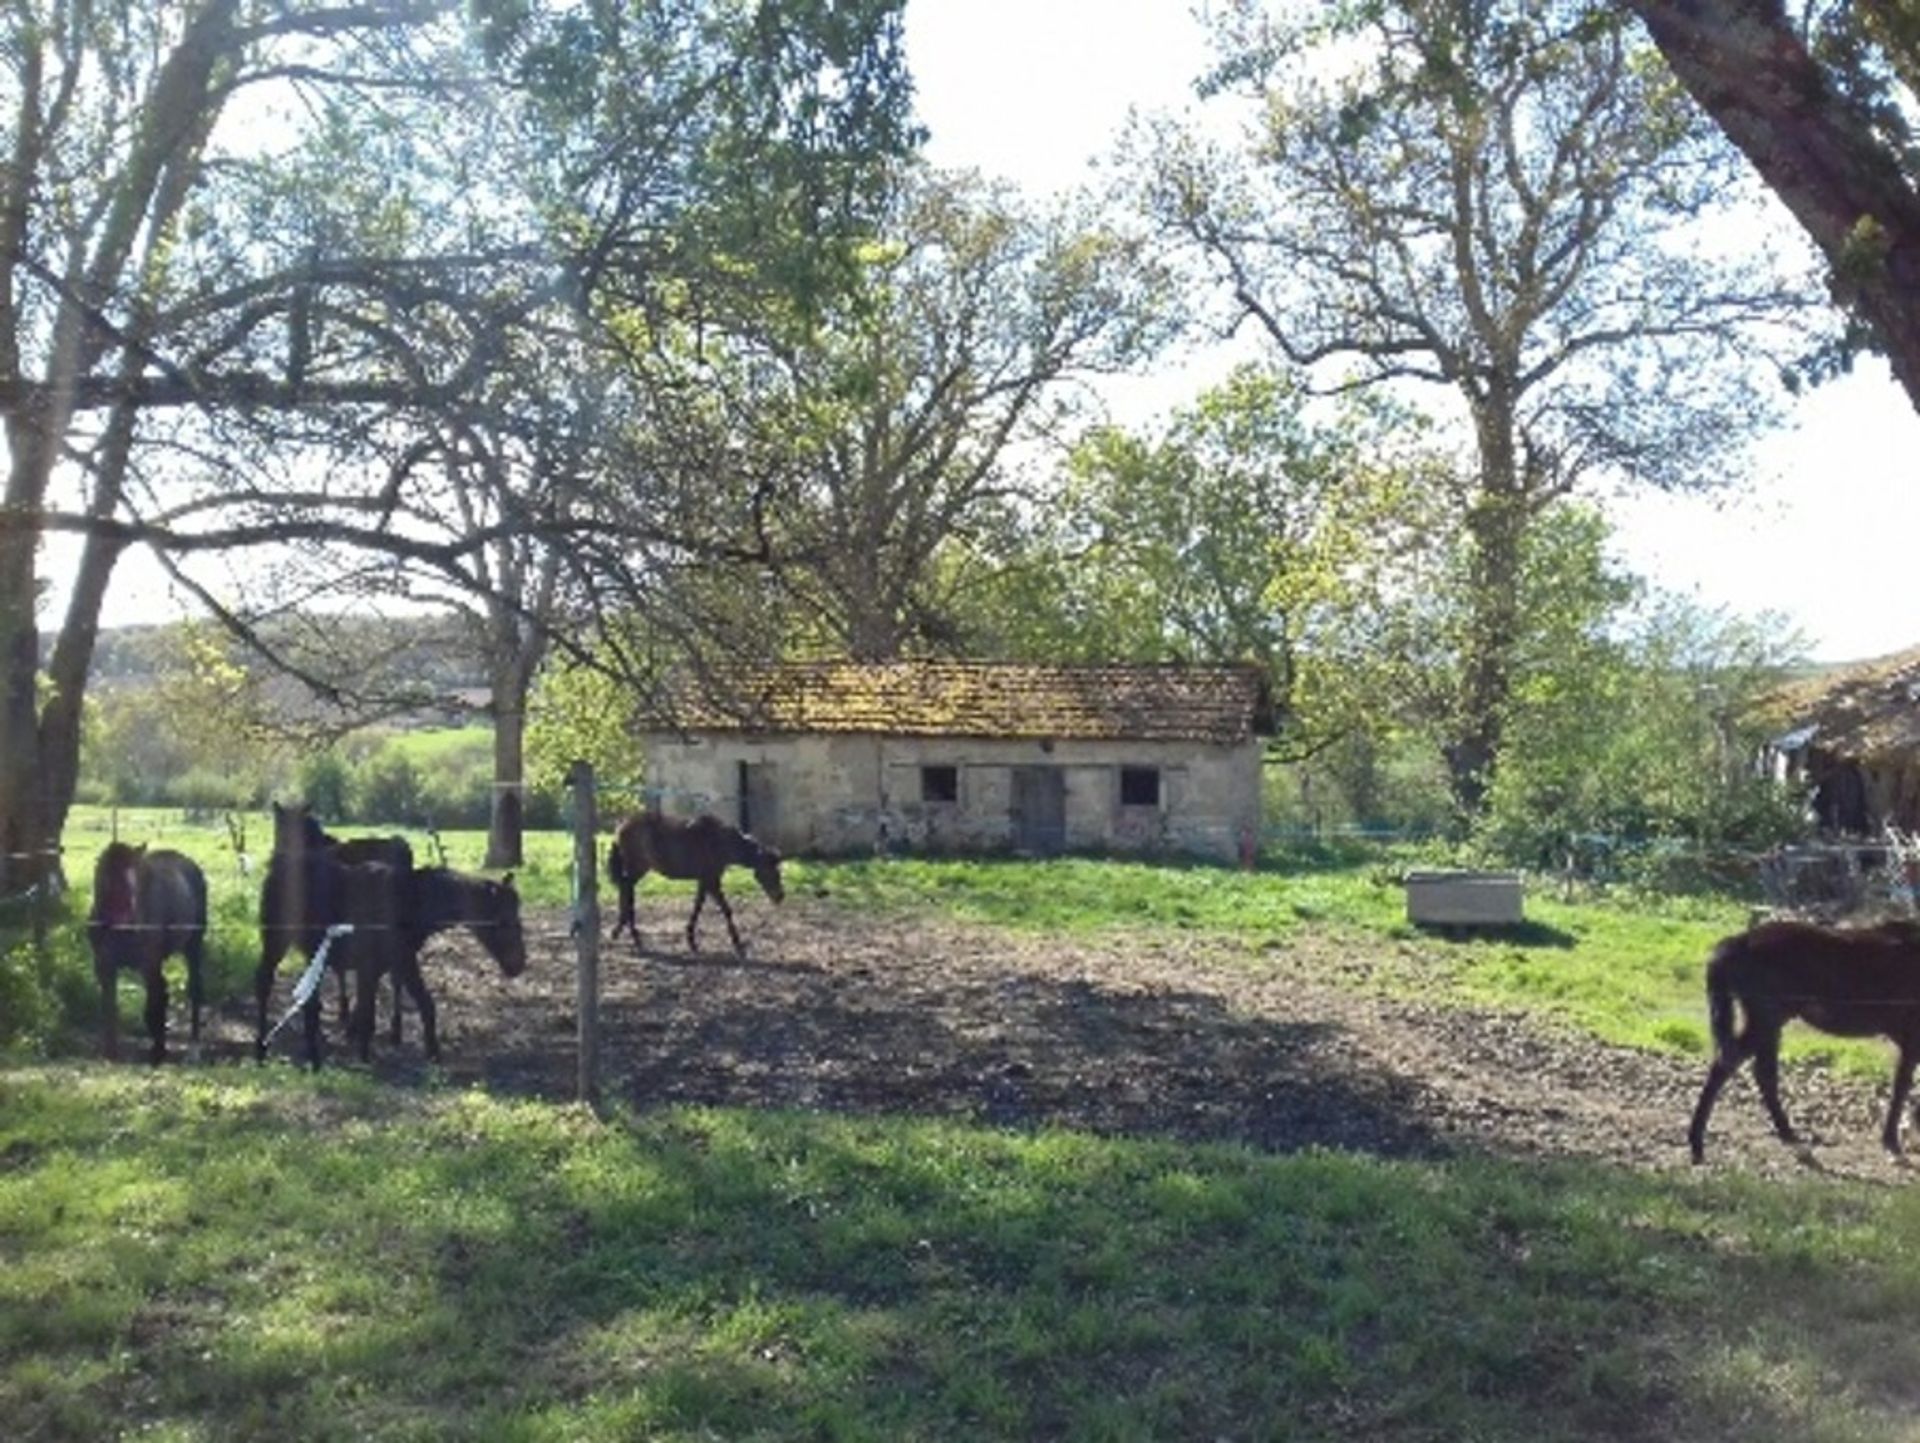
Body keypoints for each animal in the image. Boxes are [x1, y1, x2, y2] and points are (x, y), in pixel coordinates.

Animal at [89, 840, 210, 1066]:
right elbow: (109, 1006)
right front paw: (110, 1053)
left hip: (193, 947)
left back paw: (193, 1048)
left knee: (193, 990)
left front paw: (158, 1052)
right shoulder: (104, 966)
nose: (129, 923)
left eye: (134, 882)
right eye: (106, 879)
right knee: (163, 991)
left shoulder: (148, 964)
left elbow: (151, 1006)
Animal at [610, 813, 783, 959]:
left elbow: (697, 907)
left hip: (637, 870)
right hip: (637, 867)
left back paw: (621, 931)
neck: (721, 841)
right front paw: (738, 946)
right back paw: (633, 936)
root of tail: (622, 825)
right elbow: (726, 910)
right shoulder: (712, 881)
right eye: (771, 871)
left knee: (625, 890)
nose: (780, 896)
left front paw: (691, 941)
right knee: (627, 890)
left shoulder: (704, 881)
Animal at [1689, 917, 1920, 1166]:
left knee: (1748, 1071)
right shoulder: (1912, 1040)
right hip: (1767, 1020)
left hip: (1769, 1024)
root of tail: (1741, 940)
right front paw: (1892, 1144)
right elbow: (1901, 1086)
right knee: (1741, 1069)